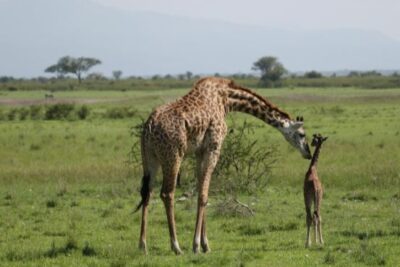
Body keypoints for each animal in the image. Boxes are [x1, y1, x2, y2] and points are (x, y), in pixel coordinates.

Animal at [136, 77, 310, 255]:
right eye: (302, 134)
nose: (308, 153)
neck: (227, 99)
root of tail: (149, 126)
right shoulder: (214, 146)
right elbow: (204, 196)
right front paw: (196, 245)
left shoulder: (200, 151)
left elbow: (201, 192)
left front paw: (205, 245)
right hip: (173, 155)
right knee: (167, 193)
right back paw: (176, 247)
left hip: (150, 158)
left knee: (147, 193)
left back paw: (143, 246)